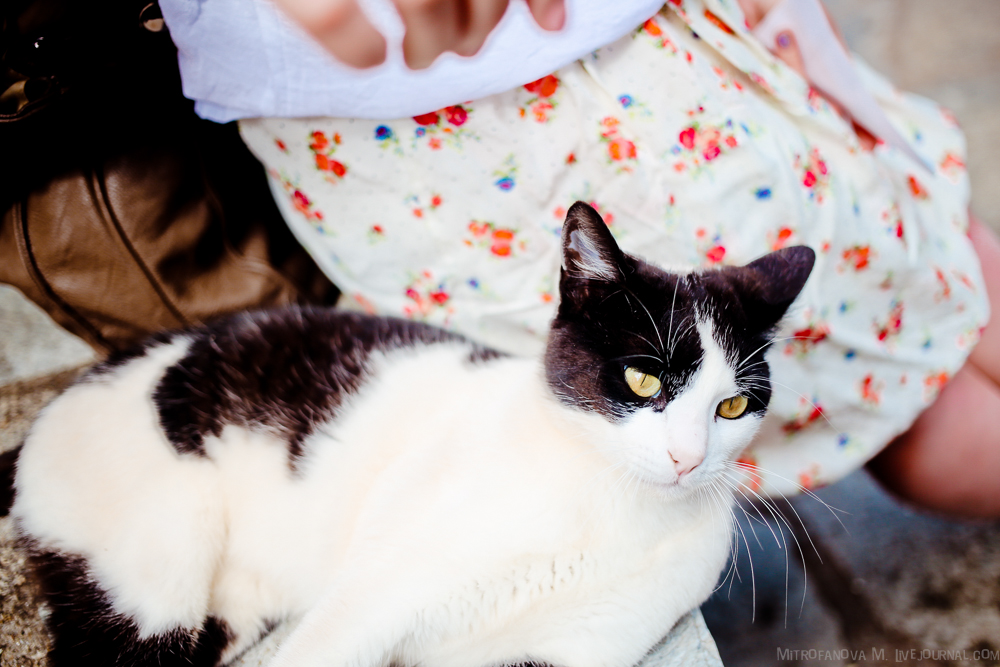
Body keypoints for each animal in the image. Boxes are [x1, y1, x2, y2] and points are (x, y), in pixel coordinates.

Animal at [8, 201, 814, 667]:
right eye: (645, 381)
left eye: (732, 407)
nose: (688, 459)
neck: (610, 509)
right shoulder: (377, 596)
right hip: (155, 570)